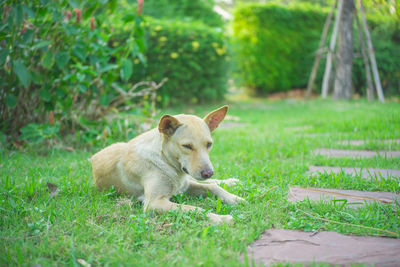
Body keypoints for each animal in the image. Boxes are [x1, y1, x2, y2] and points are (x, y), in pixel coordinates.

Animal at [92, 106, 245, 224]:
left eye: (209, 144)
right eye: (187, 146)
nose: (208, 173)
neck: (165, 160)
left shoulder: (185, 185)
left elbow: (213, 188)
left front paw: (234, 198)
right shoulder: (154, 203)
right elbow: (193, 208)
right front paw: (220, 218)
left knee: (212, 183)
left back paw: (232, 181)